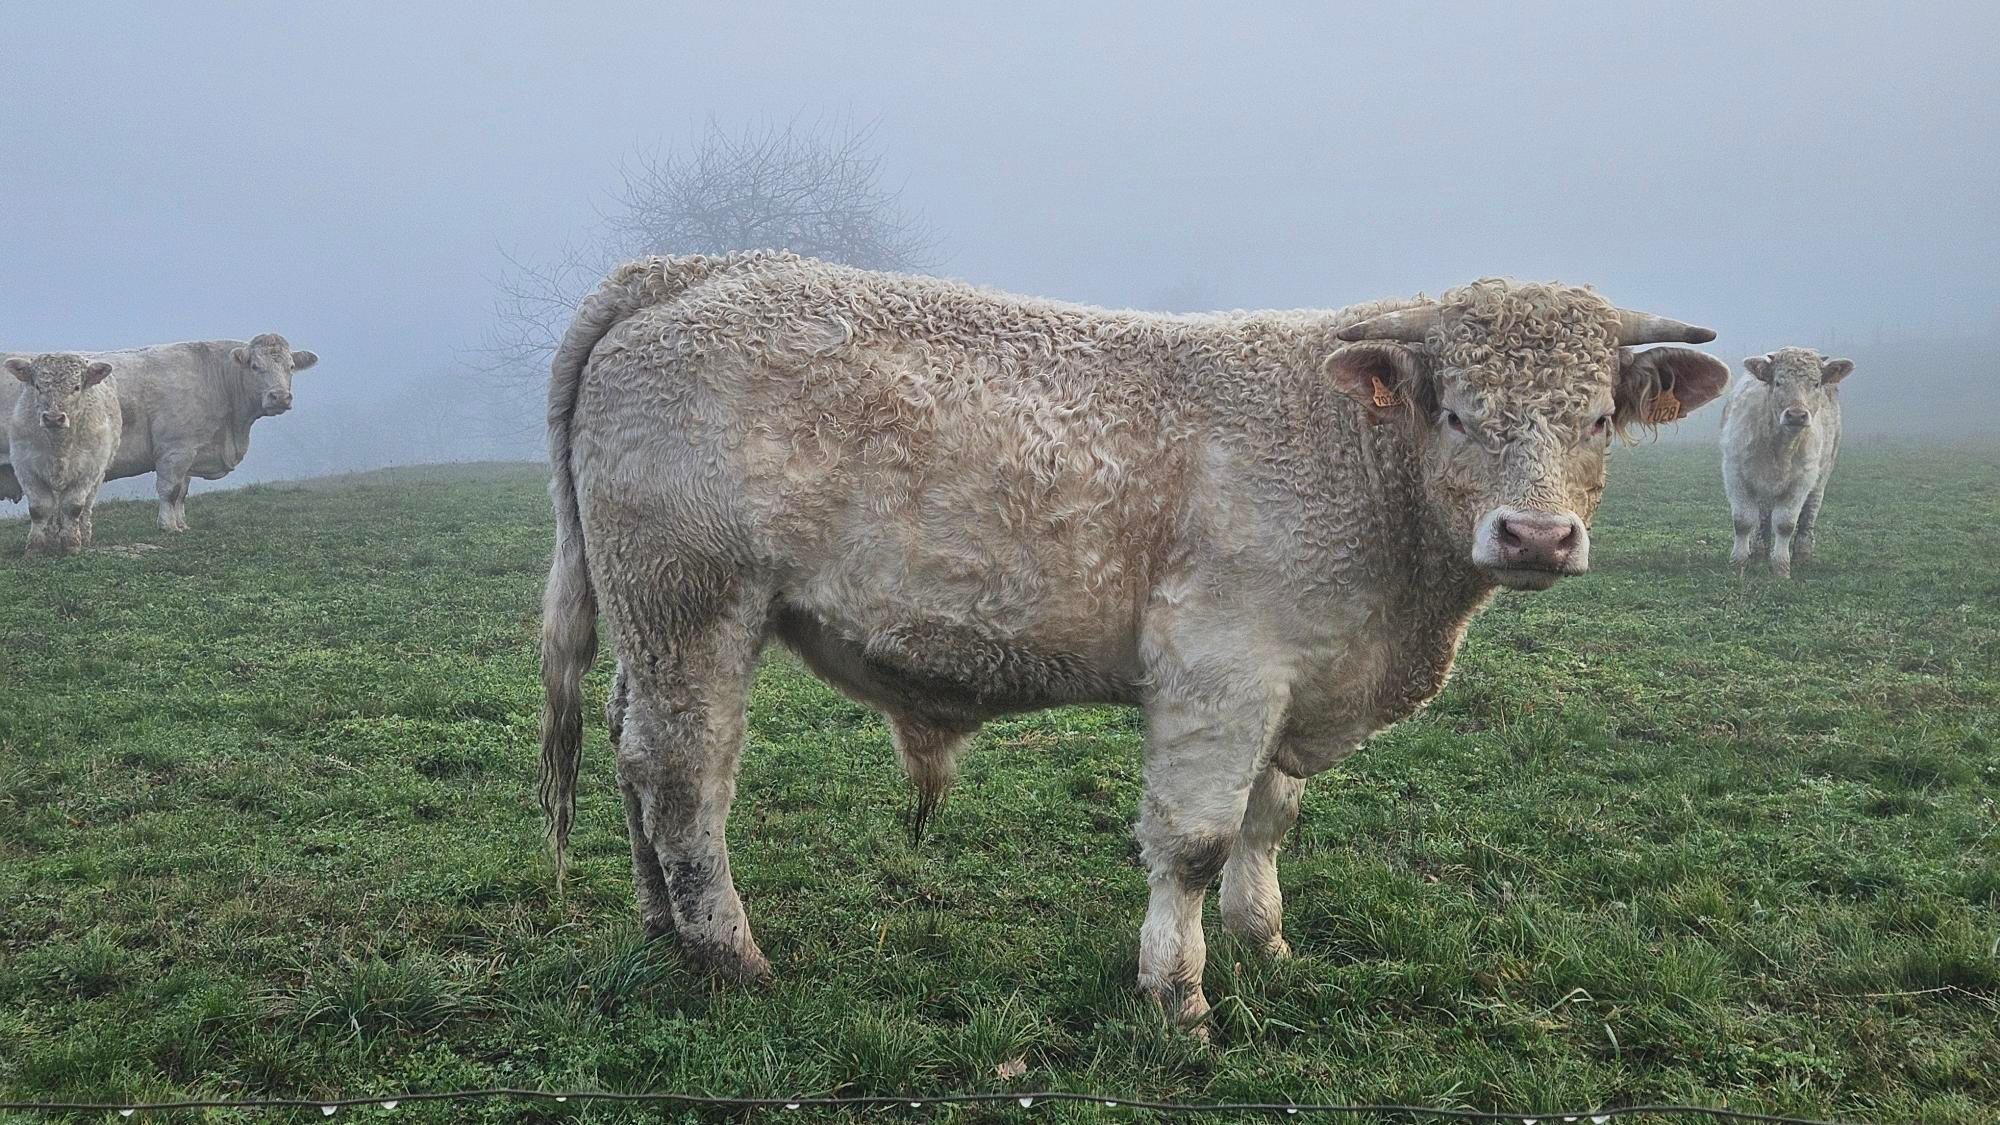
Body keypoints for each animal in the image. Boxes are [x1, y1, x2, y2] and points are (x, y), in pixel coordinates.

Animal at [0, 334, 318, 532]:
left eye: (291, 367)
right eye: (254, 366)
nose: (280, 397)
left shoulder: (191, 450)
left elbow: (182, 492)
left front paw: (181, 523)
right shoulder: (175, 450)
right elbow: (170, 490)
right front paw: (168, 526)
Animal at [6, 353, 122, 556]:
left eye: (76, 387)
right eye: (38, 386)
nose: (53, 418)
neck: (58, 447)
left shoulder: (88, 469)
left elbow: (73, 507)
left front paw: (72, 543)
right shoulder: (26, 467)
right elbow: (39, 508)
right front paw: (35, 546)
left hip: (99, 474)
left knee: (85, 507)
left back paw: (83, 533)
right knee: (53, 508)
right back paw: (52, 534)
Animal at [535, 252, 1730, 1023]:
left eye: (1597, 417)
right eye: (1455, 413)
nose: (1536, 534)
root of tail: (693, 269)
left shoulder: (1294, 676)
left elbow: (1269, 821)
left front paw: (1263, 941)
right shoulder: (1220, 673)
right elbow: (1196, 840)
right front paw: (1178, 991)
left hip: (651, 618)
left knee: (632, 755)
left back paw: (661, 925)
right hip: (694, 603)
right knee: (683, 776)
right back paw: (728, 953)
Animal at [1720, 346, 1851, 577]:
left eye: (1816, 383)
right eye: (1778, 382)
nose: (1797, 415)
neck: (1779, 445)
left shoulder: (1801, 481)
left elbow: (1785, 524)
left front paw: (1781, 569)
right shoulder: (1735, 472)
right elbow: (1743, 521)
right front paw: (1737, 564)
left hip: (1822, 475)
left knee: (1809, 512)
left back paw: (1802, 554)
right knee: (1763, 516)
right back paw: (1759, 553)